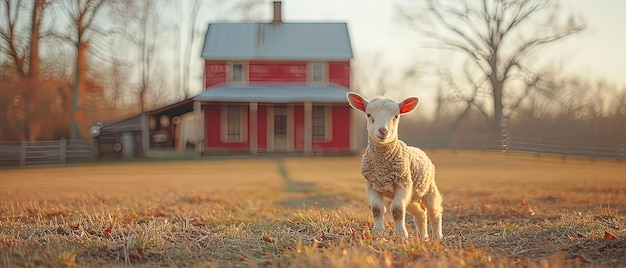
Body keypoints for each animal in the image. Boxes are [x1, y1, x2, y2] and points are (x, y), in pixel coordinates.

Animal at [344, 92, 442, 241]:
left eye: (396, 116)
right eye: (368, 115)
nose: (383, 130)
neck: (381, 167)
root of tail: (420, 150)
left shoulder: (403, 183)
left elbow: (397, 209)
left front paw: (401, 234)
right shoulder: (371, 185)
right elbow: (377, 208)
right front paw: (377, 231)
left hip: (429, 190)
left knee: (434, 213)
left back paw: (437, 237)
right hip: (411, 197)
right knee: (421, 214)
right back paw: (423, 238)